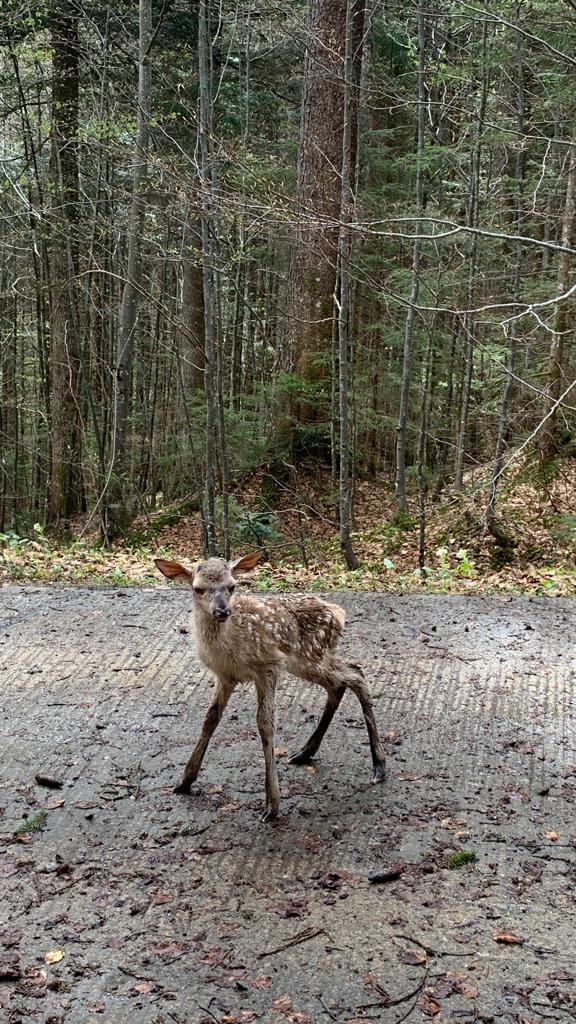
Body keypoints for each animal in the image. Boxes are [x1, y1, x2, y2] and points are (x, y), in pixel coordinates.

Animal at [154, 548, 383, 819]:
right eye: (198, 588)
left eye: (232, 586)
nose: (222, 611)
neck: (229, 646)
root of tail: (339, 613)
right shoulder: (226, 676)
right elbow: (210, 718)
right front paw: (185, 780)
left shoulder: (268, 666)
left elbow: (265, 724)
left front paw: (272, 804)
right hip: (311, 660)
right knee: (341, 682)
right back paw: (305, 752)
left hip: (309, 657)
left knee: (356, 675)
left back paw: (379, 765)